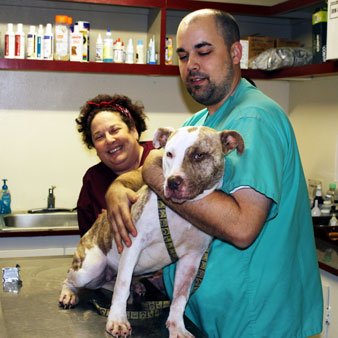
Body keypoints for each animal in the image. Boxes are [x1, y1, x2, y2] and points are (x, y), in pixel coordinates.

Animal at [59, 125, 244, 336]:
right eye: (169, 154)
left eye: (199, 155)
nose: (172, 182)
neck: (181, 212)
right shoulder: (133, 244)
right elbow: (122, 286)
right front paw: (117, 320)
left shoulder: (191, 260)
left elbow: (180, 297)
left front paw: (177, 327)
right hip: (90, 267)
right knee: (73, 280)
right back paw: (68, 294)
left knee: (109, 282)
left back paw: (136, 286)